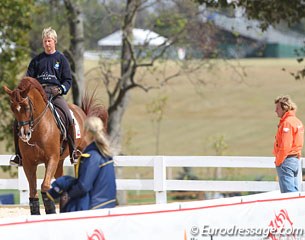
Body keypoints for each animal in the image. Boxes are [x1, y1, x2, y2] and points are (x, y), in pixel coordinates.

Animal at [3, 76, 108, 214]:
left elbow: (45, 186)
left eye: (26, 107)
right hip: (59, 161)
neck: (38, 130)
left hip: (80, 155)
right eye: (12, 108)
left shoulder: (51, 159)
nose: (24, 134)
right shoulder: (28, 163)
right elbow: (33, 191)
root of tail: (82, 112)